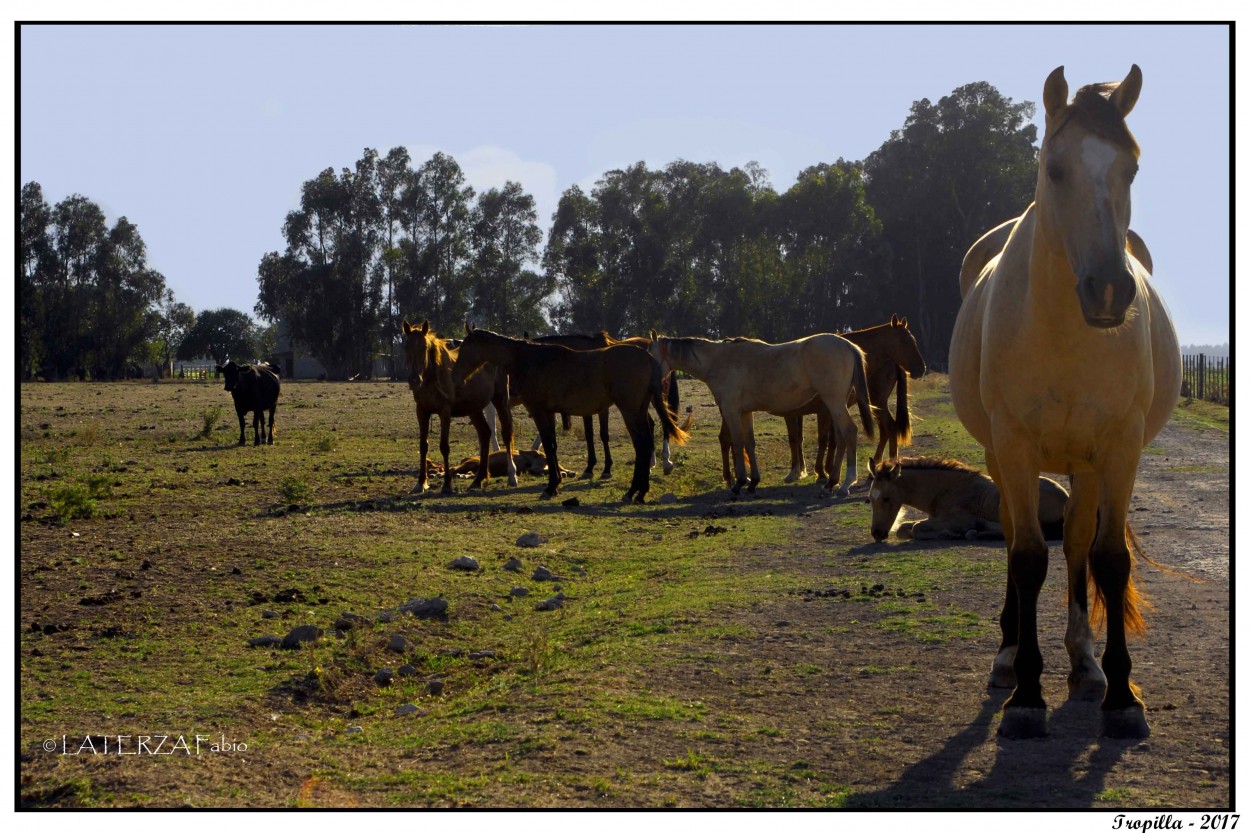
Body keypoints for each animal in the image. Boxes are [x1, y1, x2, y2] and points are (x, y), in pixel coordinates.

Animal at [402, 318, 515, 492]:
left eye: (424, 348)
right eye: (406, 347)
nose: (414, 380)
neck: (432, 378)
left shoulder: (445, 412)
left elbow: (444, 446)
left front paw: (447, 484)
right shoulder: (421, 411)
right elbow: (423, 446)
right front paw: (420, 483)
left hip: (500, 400)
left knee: (506, 433)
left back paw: (512, 476)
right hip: (474, 409)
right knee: (484, 434)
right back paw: (478, 479)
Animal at [450, 330, 690, 500]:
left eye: (464, 350)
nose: (455, 377)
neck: (530, 360)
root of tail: (648, 356)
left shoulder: (539, 411)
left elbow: (548, 445)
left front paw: (551, 486)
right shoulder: (549, 412)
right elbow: (551, 446)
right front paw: (556, 483)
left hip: (630, 410)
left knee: (643, 444)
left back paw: (634, 491)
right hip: (638, 410)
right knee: (646, 443)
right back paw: (640, 490)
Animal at [650, 332, 875, 500]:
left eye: (649, 355)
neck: (719, 361)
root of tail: (848, 345)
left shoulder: (731, 410)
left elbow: (737, 443)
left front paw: (739, 483)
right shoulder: (745, 412)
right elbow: (749, 443)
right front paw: (753, 482)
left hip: (834, 402)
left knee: (849, 432)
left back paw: (846, 483)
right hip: (835, 404)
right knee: (841, 438)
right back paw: (831, 482)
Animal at [870, 457, 1065, 542]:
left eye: (886, 498)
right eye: (869, 499)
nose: (876, 533)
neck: (946, 490)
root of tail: (1065, 497)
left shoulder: (955, 519)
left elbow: (917, 528)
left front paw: (948, 533)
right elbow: (904, 528)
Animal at [945, 68, 1180, 735]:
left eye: (1131, 167)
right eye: (1054, 169)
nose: (1109, 291)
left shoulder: (1119, 448)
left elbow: (1109, 558)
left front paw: (1121, 696)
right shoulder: (1015, 447)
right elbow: (1026, 557)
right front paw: (1026, 695)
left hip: (1087, 464)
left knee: (1077, 543)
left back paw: (1085, 663)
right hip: (1002, 457)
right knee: (1011, 536)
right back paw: (1008, 657)